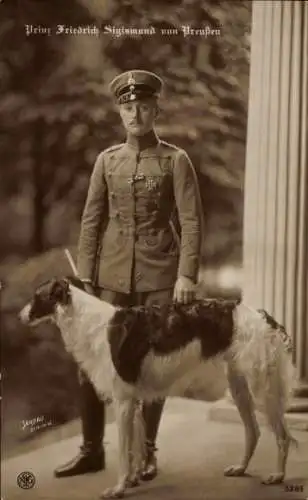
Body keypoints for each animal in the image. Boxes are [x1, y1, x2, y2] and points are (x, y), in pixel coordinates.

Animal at [19, 276, 298, 498]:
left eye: (36, 296)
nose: (20, 316)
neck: (90, 322)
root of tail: (263, 316)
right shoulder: (132, 401)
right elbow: (134, 448)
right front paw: (132, 480)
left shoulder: (123, 401)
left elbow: (124, 453)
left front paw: (118, 489)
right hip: (239, 386)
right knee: (253, 432)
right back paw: (241, 468)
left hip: (262, 389)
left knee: (282, 436)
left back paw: (277, 475)